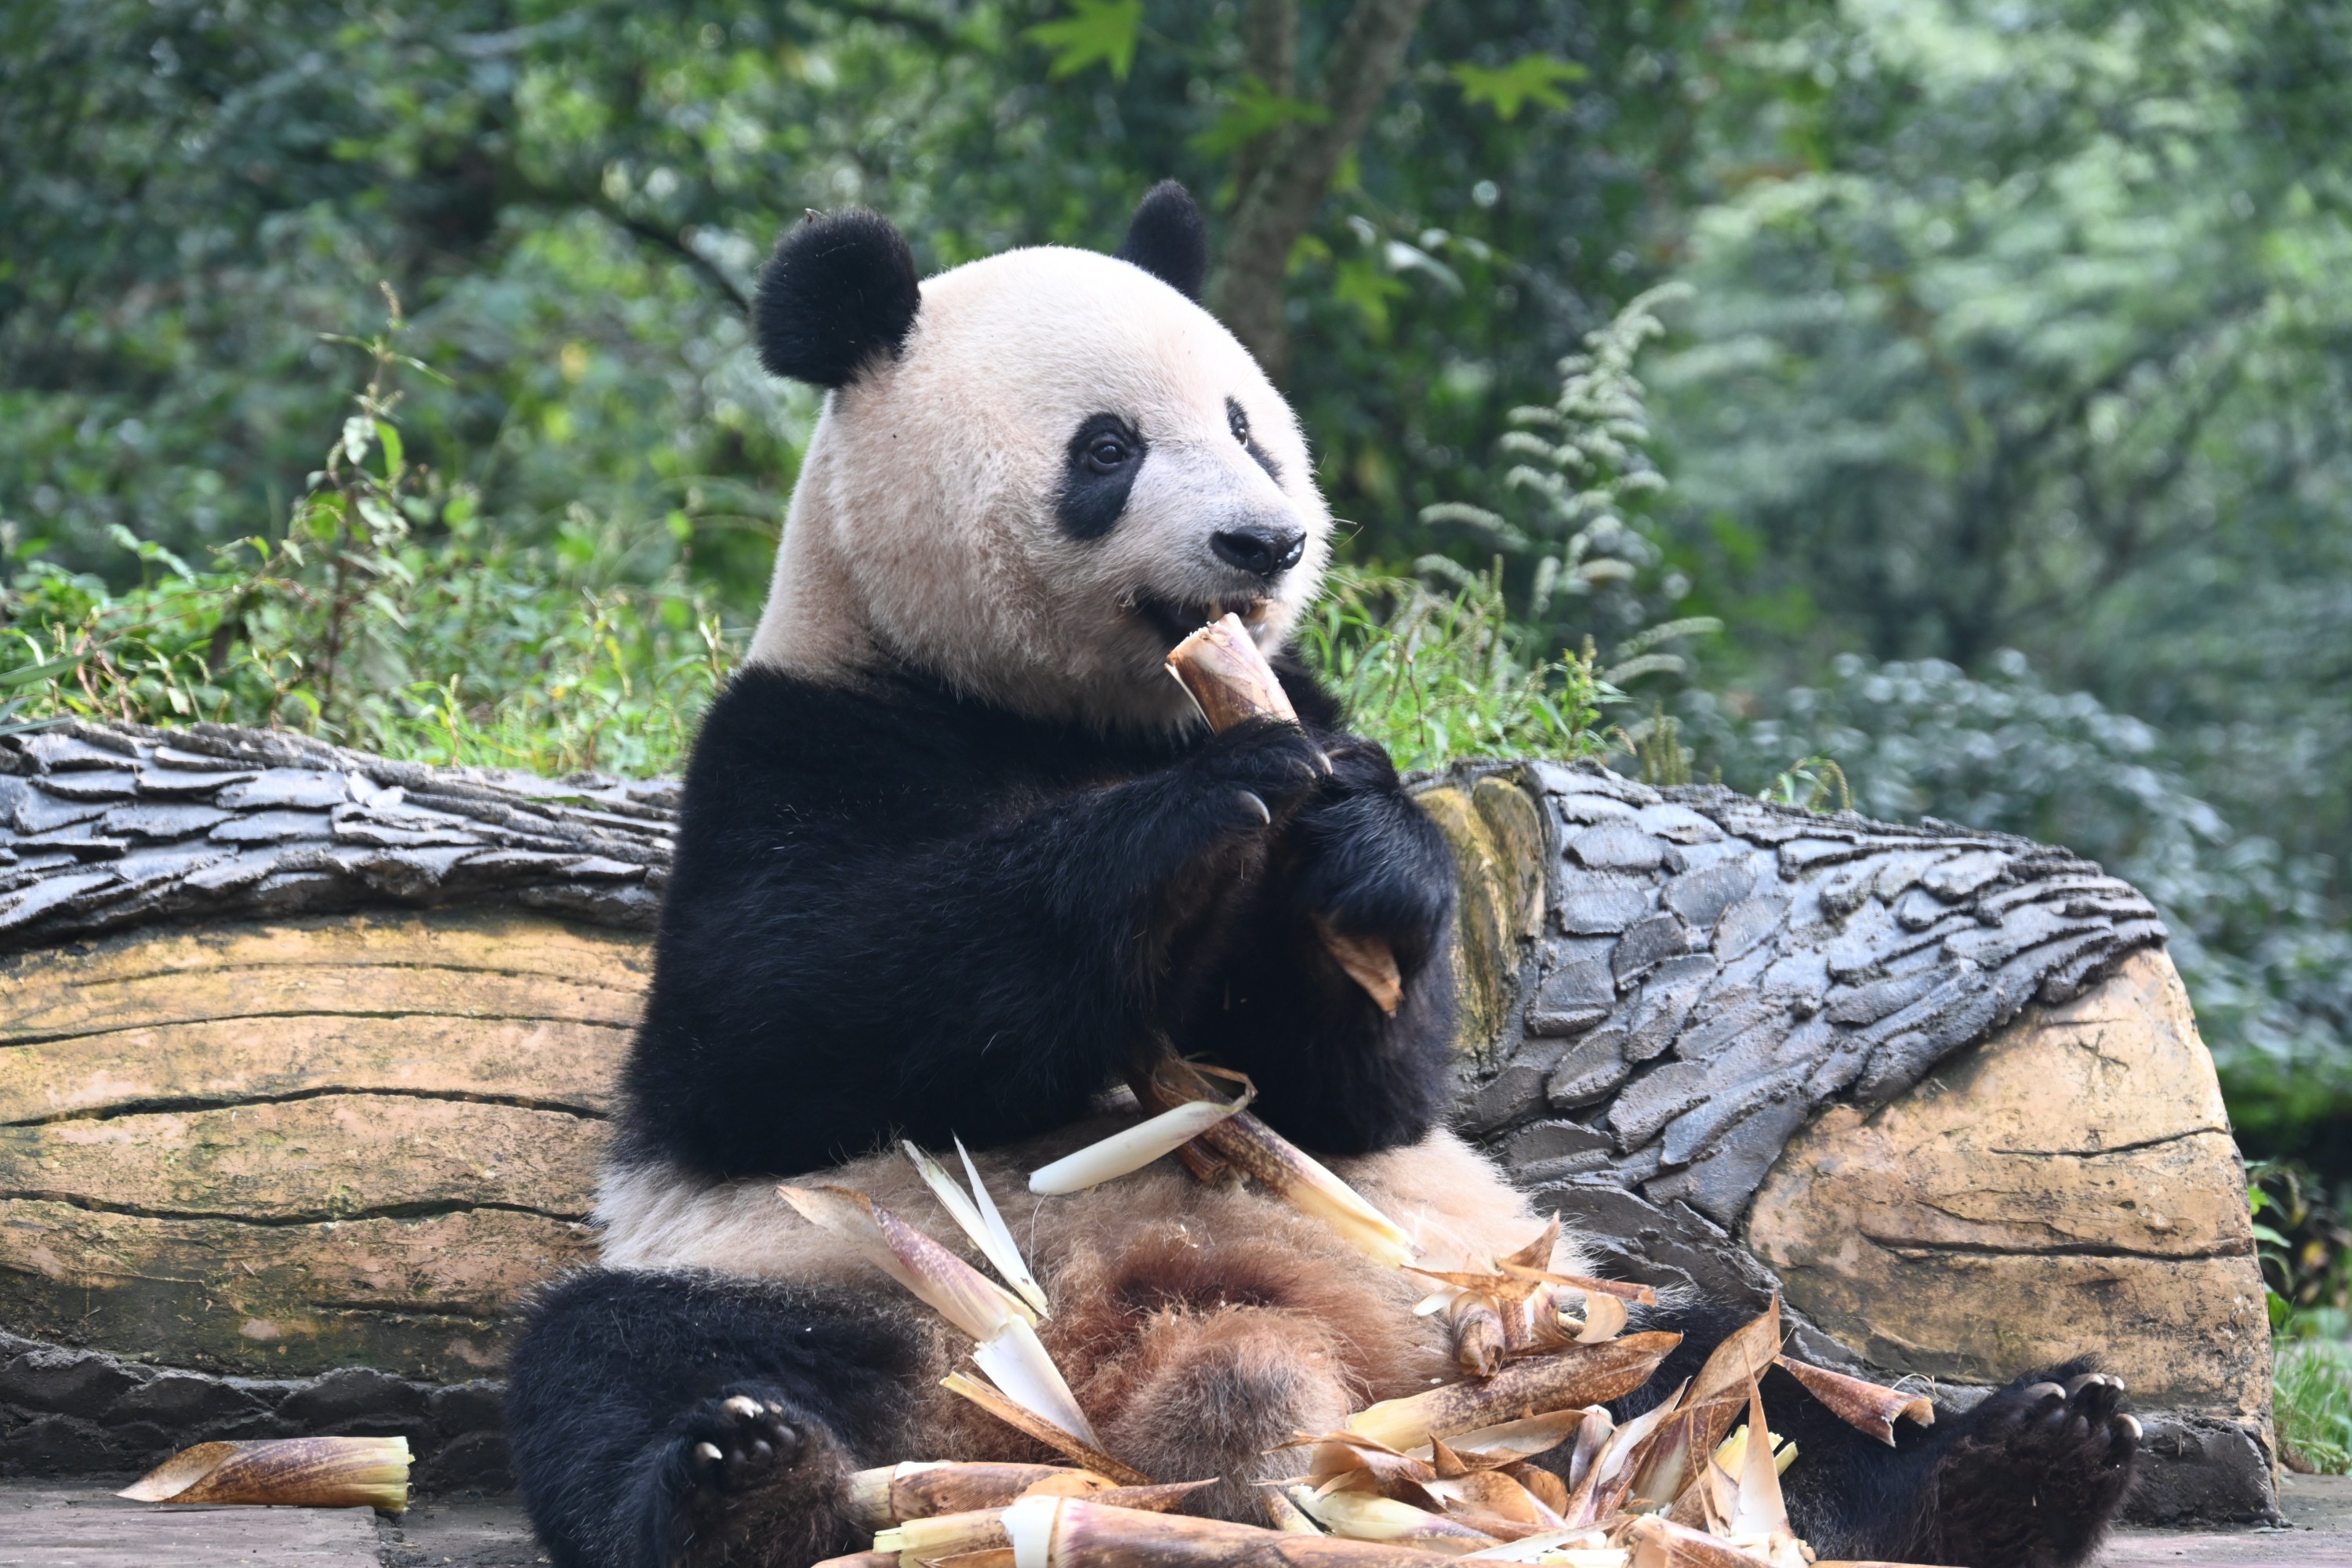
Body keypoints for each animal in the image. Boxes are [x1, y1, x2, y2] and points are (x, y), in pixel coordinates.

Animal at [503, 183, 2141, 1568]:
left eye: (1248, 426)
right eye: (1107, 448)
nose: (1265, 540)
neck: (1078, 718)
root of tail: (1206, 1368)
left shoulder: (1322, 713)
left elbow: (1368, 1085)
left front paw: (1358, 861)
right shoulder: (796, 743)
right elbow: (776, 1024)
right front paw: (1194, 826)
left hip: (1502, 1305)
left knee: (1728, 1370)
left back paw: (2019, 1458)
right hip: (832, 1275)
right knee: (630, 1367)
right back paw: (750, 1480)